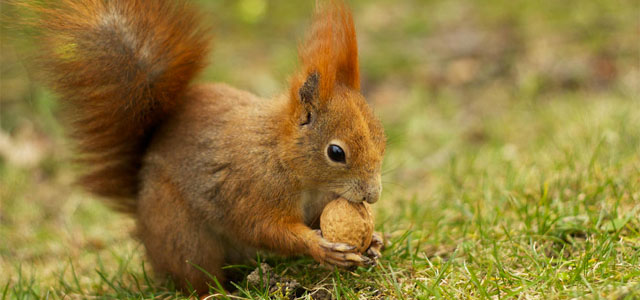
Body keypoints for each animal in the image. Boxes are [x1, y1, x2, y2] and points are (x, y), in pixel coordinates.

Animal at [32, 0, 384, 292]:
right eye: (336, 153)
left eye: (381, 136)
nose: (373, 195)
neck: (283, 157)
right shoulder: (252, 188)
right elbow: (264, 228)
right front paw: (319, 247)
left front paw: (374, 241)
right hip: (183, 236)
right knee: (196, 278)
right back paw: (218, 292)